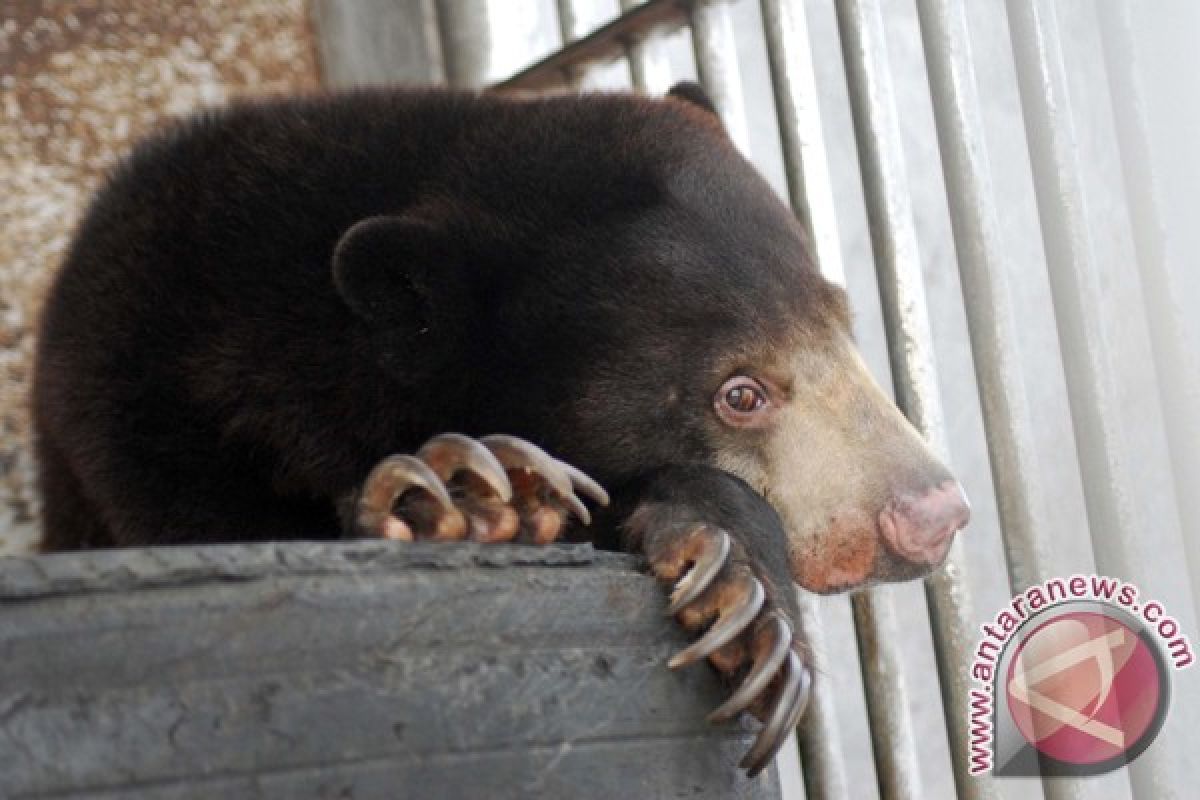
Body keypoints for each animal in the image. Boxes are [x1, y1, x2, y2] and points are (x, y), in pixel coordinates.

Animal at [32, 86, 969, 777]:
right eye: (740, 393)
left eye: (841, 325)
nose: (931, 516)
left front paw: (741, 598)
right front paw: (467, 496)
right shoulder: (142, 424)